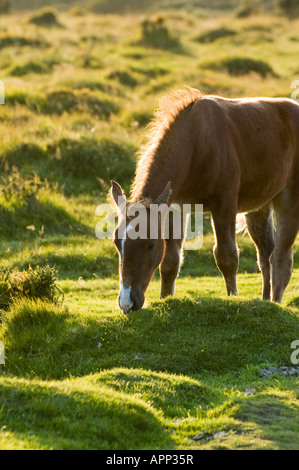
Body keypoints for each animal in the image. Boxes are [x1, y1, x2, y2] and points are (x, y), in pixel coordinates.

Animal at [110, 88, 299, 312]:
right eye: (116, 242)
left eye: (149, 245)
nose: (127, 303)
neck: (197, 143)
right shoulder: (175, 208)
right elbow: (170, 262)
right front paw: (166, 300)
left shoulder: (224, 206)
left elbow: (227, 257)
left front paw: (233, 299)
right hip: (259, 207)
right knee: (265, 255)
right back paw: (265, 303)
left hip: (289, 201)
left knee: (280, 259)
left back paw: (275, 304)